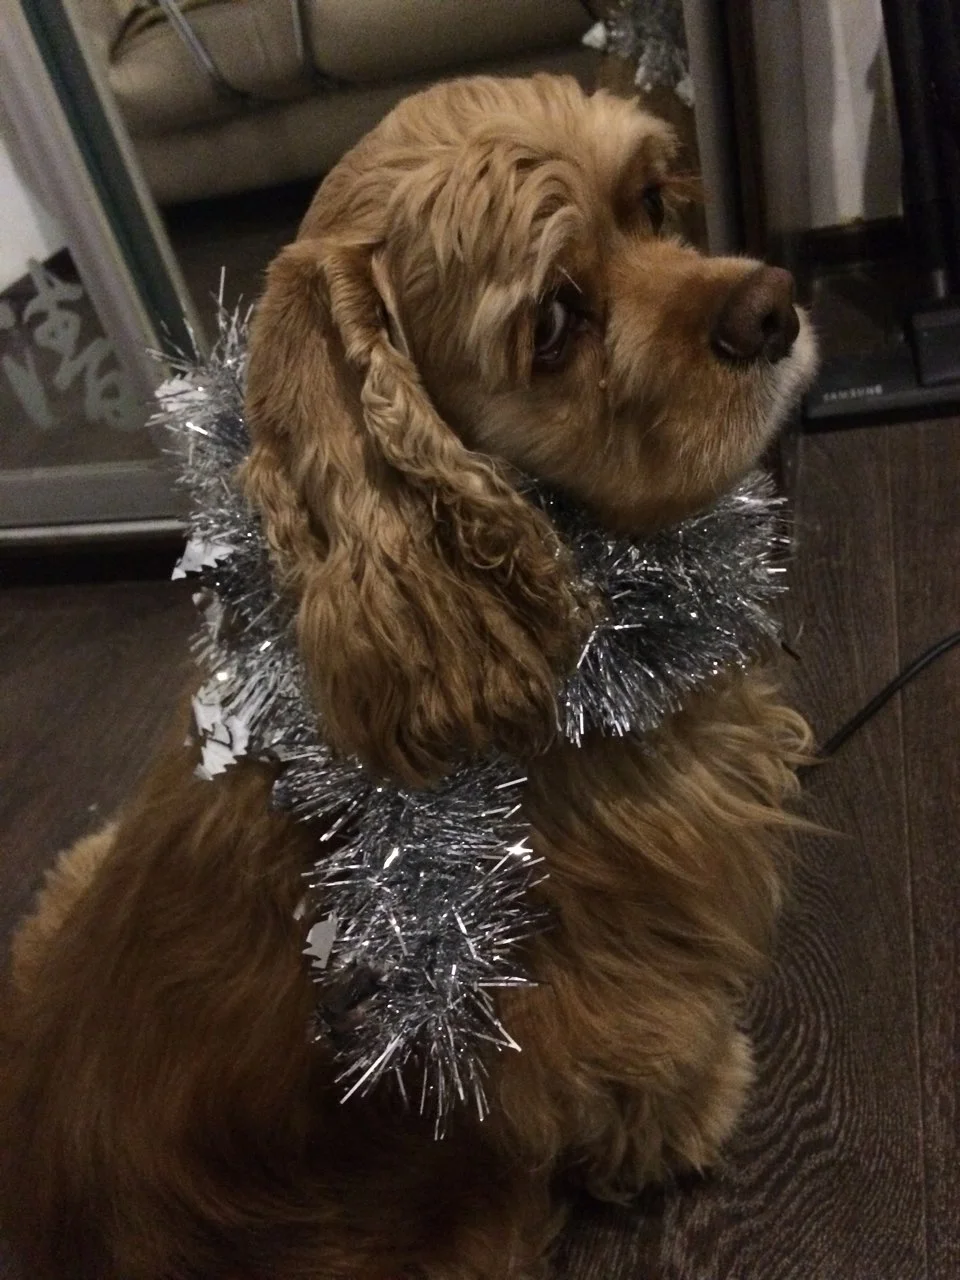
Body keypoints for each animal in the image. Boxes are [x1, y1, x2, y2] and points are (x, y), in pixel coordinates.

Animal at [0, 75, 817, 1279]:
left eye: (650, 202)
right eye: (553, 324)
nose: (773, 307)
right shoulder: (595, 987)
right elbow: (649, 1052)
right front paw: (702, 1103)